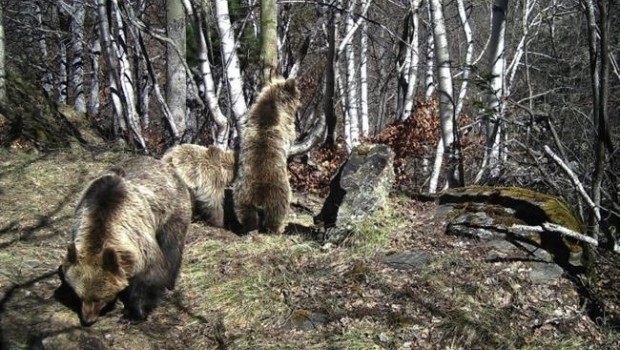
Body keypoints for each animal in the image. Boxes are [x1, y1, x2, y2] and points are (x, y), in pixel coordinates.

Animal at [60, 156, 193, 326]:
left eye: (100, 298)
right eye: (80, 296)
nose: (87, 320)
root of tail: (163, 163)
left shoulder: (139, 240)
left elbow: (150, 275)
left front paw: (133, 314)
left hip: (172, 211)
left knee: (171, 246)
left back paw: (170, 281)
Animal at [232, 78, 300, 234]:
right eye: (297, 92)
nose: (301, 101)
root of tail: (259, 196)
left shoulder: (251, 117)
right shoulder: (284, 122)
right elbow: (290, 133)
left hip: (242, 193)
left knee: (246, 212)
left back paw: (248, 227)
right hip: (279, 192)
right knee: (276, 213)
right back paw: (278, 229)